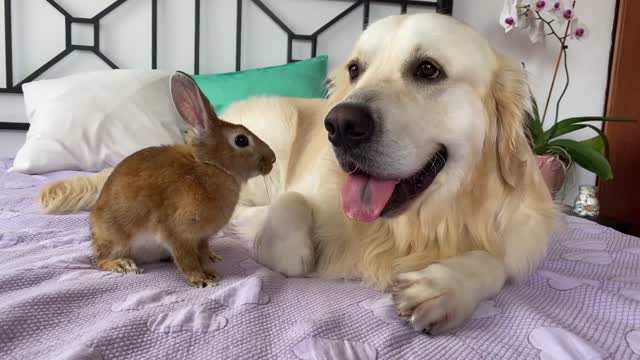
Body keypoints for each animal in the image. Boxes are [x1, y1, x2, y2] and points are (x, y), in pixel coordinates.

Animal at [89, 71, 276, 288]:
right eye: (241, 140)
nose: (272, 159)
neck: (212, 167)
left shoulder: (202, 238)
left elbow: (202, 254)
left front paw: (212, 271)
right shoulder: (177, 234)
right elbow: (187, 260)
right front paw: (202, 280)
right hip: (116, 239)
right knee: (100, 261)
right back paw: (123, 264)